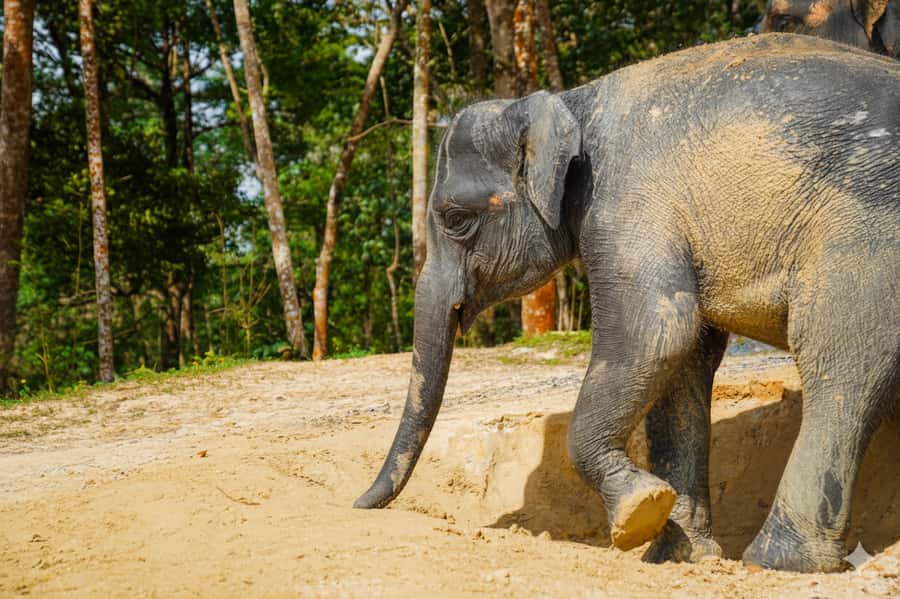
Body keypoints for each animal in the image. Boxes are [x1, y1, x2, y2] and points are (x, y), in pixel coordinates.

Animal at [354, 33, 900, 574]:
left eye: (455, 219)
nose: (359, 504)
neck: (571, 102)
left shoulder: (623, 202)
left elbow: (657, 332)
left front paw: (641, 512)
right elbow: (684, 361)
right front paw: (676, 555)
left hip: (861, 237)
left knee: (840, 356)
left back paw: (775, 561)